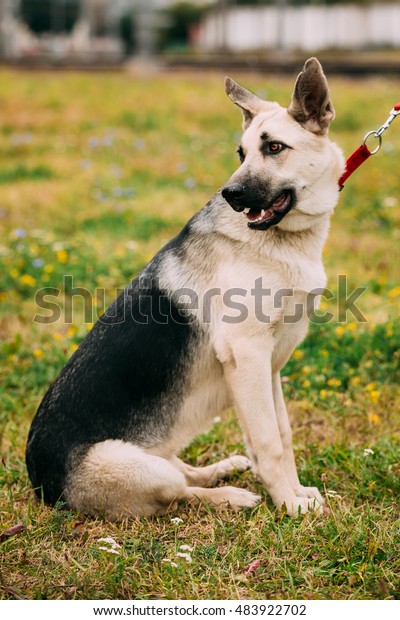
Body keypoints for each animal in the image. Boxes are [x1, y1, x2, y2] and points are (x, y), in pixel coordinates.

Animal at [25, 58, 344, 520]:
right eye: (241, 153)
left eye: (274, 148)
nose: (230, 195)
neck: (280, 240)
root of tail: (41, 485)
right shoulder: (248, 356)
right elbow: (269, 442)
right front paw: (289, 504)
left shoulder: (269, 366)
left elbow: (281, 435)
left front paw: (297, 493)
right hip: (135, 466)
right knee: (177, 491)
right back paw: (231, 495)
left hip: (157, 454)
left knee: (184, 471)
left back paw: (221, 469)